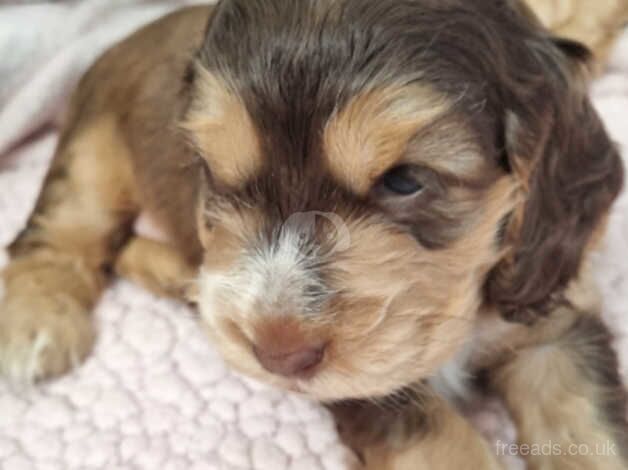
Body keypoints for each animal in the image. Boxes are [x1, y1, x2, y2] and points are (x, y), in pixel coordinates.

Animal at [1, 0, 628, 470]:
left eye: (404, 180)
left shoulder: (555, 325)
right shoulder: (370, 386)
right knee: (60, 230)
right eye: (215, 172)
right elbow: (441, 442)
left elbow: (592, 431)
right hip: (94, 147)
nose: (278, 355)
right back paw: (34, 321)